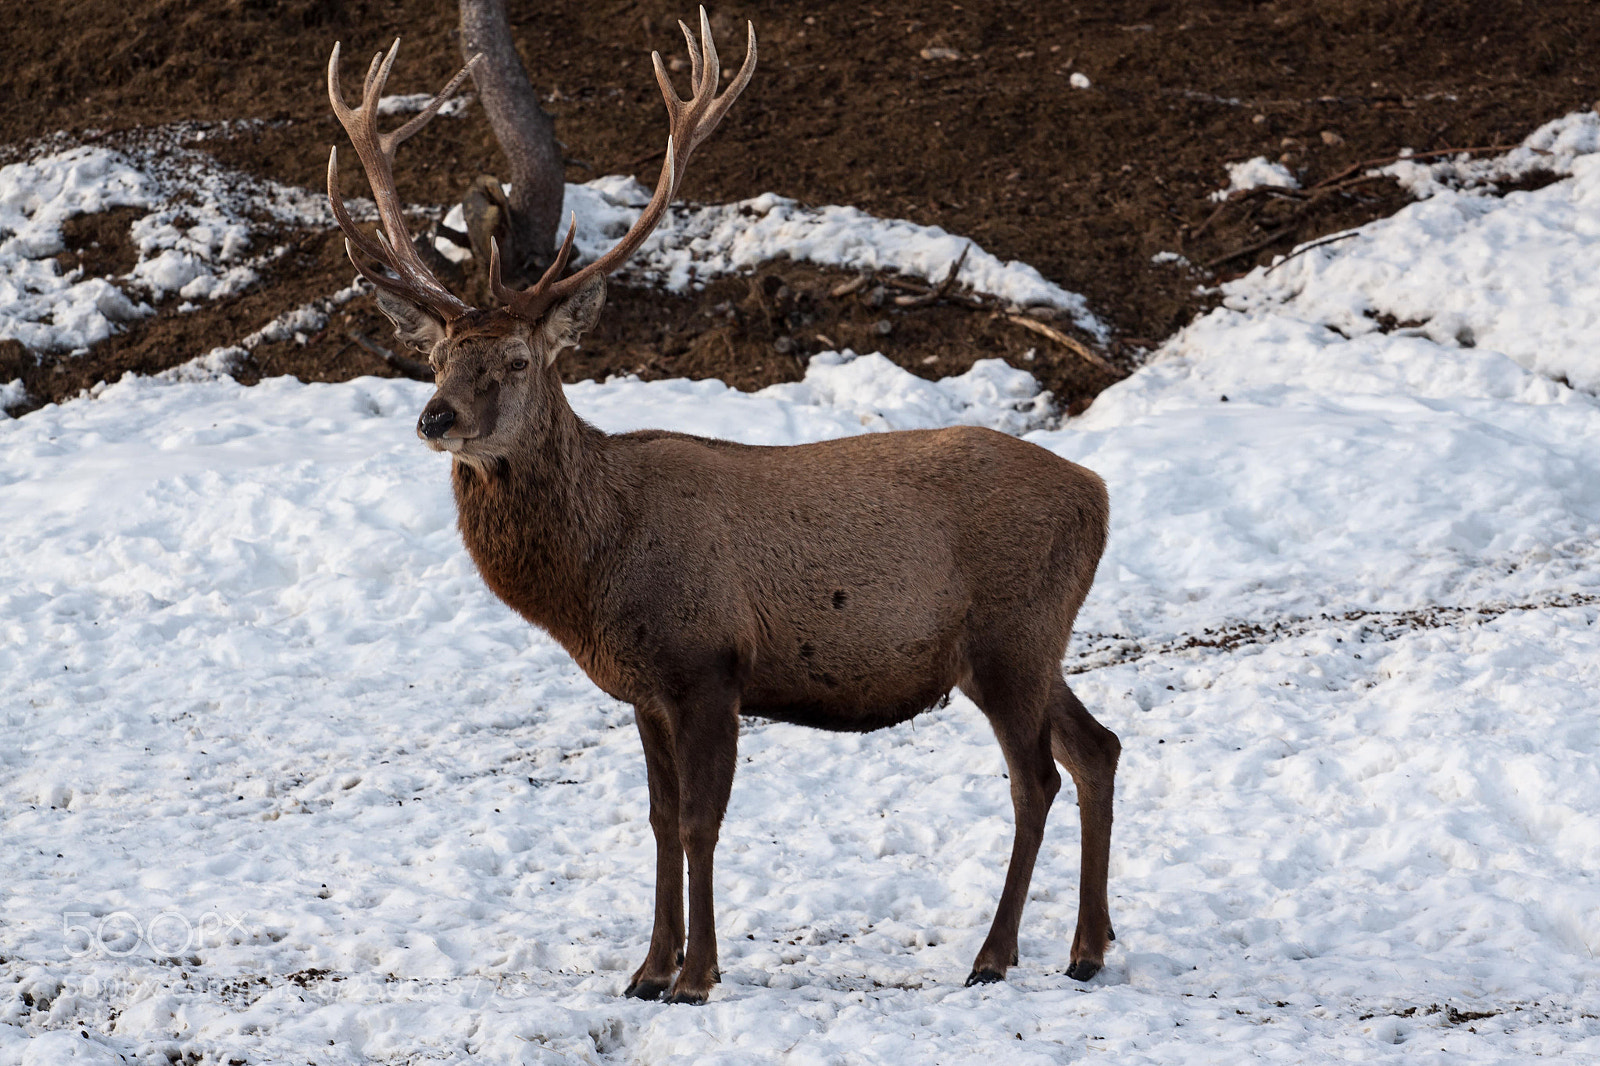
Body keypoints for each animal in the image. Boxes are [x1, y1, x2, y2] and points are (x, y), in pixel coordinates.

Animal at [324, 9, 1119, 1005]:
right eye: (435, 358)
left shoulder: (709, 664)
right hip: (1025, 645)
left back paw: (995, 953)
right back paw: (1088, 947)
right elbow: (661, 823)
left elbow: (703, 822)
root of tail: (1098, 494)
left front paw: (697, 974)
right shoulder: (642, 689)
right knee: (1100, 748)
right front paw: (646, 969)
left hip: (1012, 633)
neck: (596, 574)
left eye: (516, 360)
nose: (436, 418)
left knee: (1036, 780)